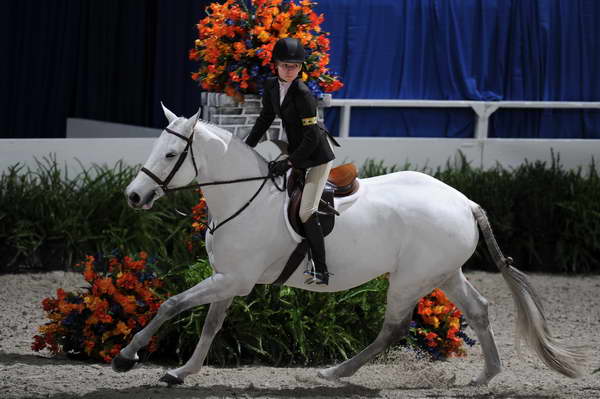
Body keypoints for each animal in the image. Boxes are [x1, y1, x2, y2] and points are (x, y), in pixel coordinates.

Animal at [112, 105, 584, 388]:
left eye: (170, 154)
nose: (133, 197)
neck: (242, 196)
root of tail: (464, 202)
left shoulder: (235, 279)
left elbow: (171, 304)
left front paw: (126, 357)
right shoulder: (226, 278)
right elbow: (210, 323)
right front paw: (181, 371)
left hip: (410, 279)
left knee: (393, 328)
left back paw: (333, 371)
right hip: (444, 273)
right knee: (479, 310)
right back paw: (487, 375)